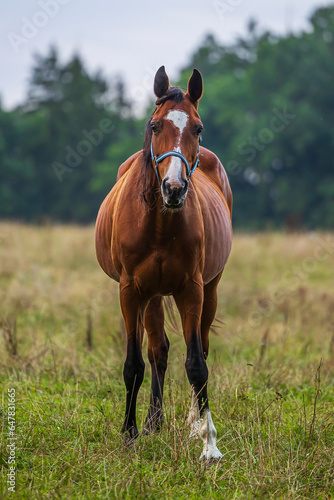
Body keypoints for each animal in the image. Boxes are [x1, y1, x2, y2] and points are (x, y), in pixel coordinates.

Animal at [95, 66, 232, 460]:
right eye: (155, 126)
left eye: (198, 129)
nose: (174, 188)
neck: (159, 223)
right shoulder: (130, 291)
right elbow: (134, 364)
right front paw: (129, 433)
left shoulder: (192, 290)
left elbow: (197, 364)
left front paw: (208, 442)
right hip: (152, 295)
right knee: (158, 351)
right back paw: (153, 422)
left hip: (209, 290)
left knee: (198, 347)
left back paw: (192, 421)